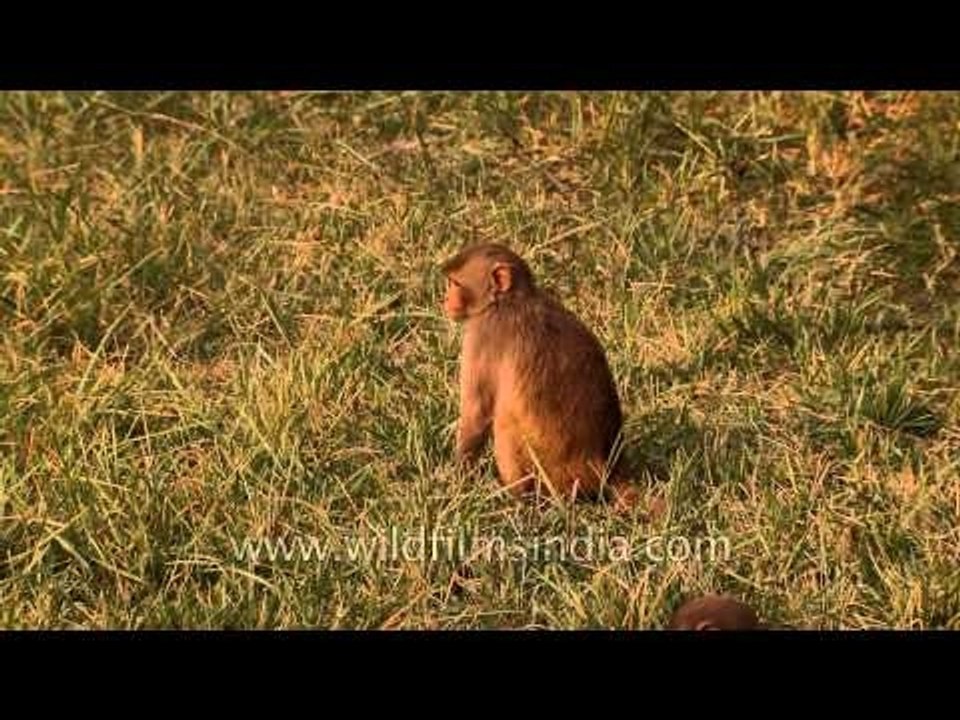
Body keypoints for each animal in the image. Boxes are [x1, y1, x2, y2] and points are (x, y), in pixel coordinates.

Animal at [441, 242, 641, 511]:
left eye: (455, 283)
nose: (445, 300)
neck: (509, 300)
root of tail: (605, 469)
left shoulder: (482, 334)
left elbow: (476, 414)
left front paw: (459, 479)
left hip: (554, 477)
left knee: (504, 424)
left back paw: (519, 500)